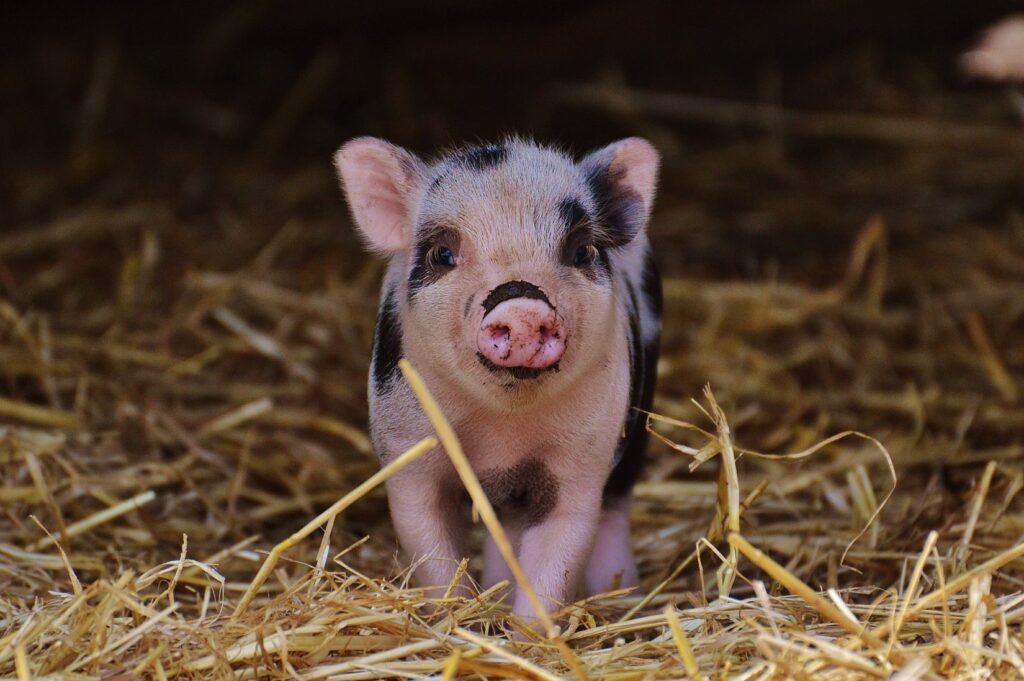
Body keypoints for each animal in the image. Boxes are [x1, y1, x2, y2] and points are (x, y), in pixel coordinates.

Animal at [333, 136, 662, 622]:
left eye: (581, 251)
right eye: (442, 254)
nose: (522, 305)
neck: (502, 434)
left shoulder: (582, 462)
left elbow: (557, 559)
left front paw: (529, 634)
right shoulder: (407, 451)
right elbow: (432, 552)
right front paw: (456, 620)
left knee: (614, 507)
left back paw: (620, 597)